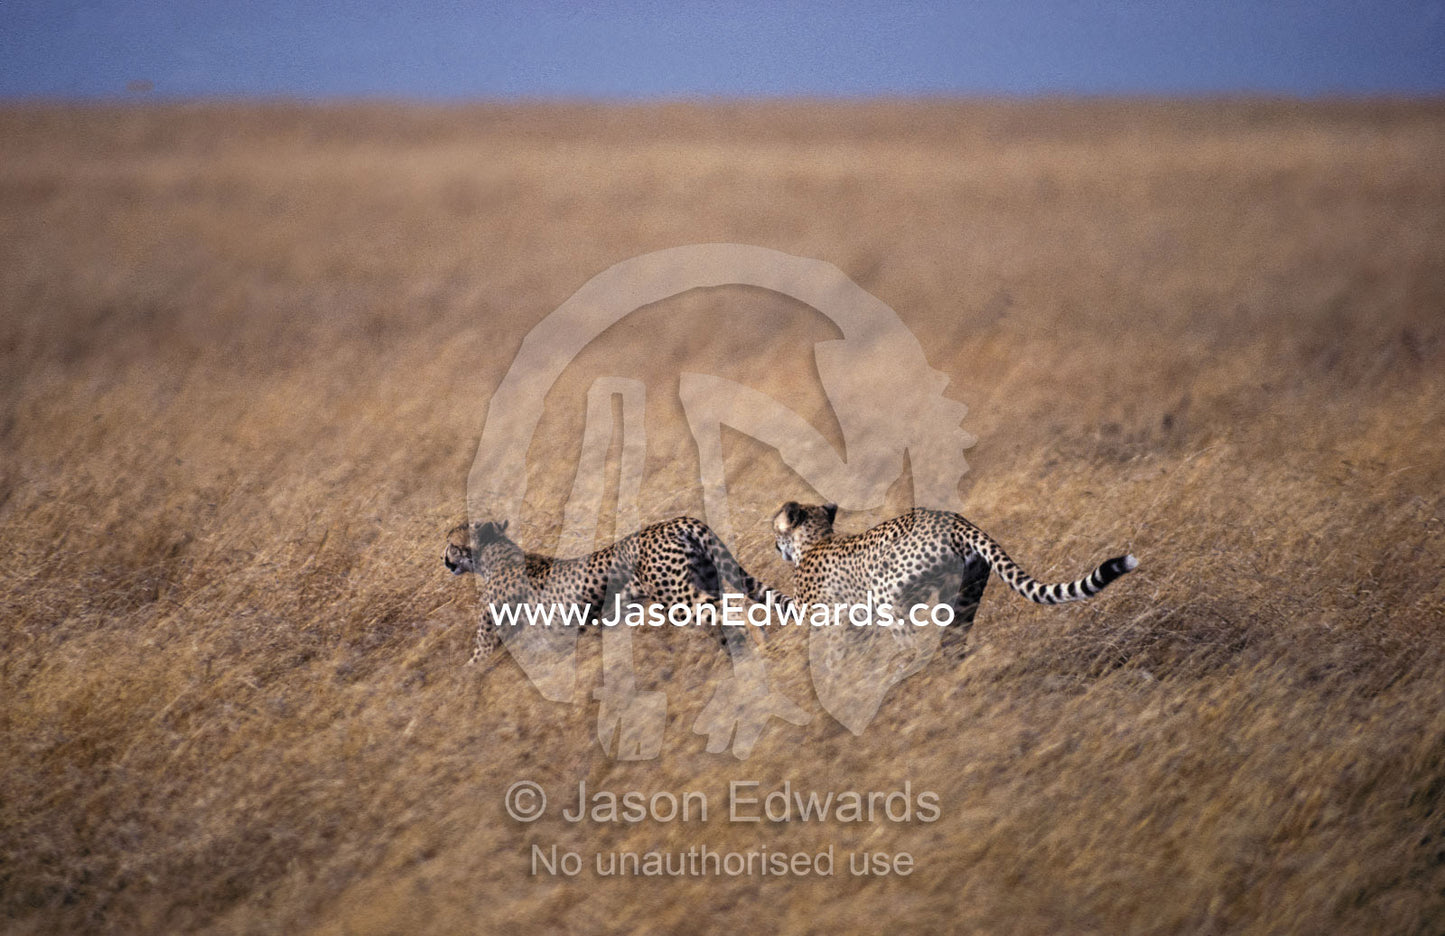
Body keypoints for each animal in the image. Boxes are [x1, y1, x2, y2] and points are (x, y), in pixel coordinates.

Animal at [444, 516, 790, 663]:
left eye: (451, 542)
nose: (443, 558)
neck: (495, 557)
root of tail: (679, 519)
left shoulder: (493, 640)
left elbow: (474, 666)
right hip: (704, 582)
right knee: (730, 614)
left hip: (678, 597)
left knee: (734, 611)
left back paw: (761, 650)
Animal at [771, 501, 1137, 655]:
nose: (775, 546)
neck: (815, 540)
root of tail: (957, 520)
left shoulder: (825, 618)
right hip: (963, 593)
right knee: (953, 636)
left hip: (889, 596)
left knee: (911, 644)